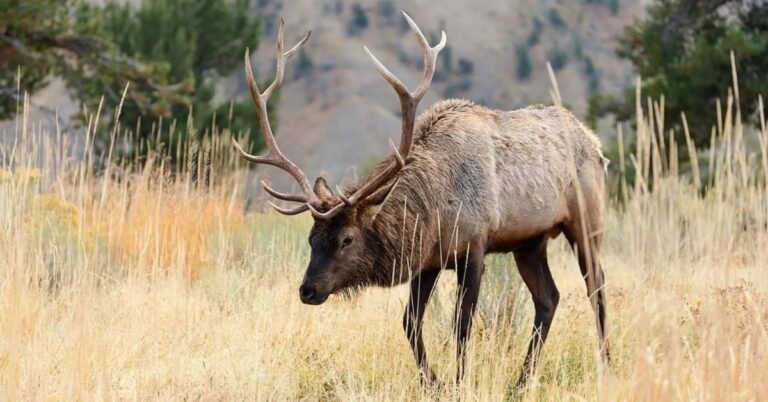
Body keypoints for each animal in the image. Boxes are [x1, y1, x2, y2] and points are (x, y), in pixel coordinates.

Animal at [233, 14, 611, 388]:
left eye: (347, 239)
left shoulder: (474, 248)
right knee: (548, 298)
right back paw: (520, 381)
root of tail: (596, 145)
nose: (308, 290)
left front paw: (459, 382)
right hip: (529, 242)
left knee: (596, 285)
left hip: (586, 222)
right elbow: (410, 322)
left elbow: (461, 324)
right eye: (312, 239)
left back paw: (606, 362)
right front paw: (433, 382)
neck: (435, 209)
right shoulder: (427, 260)